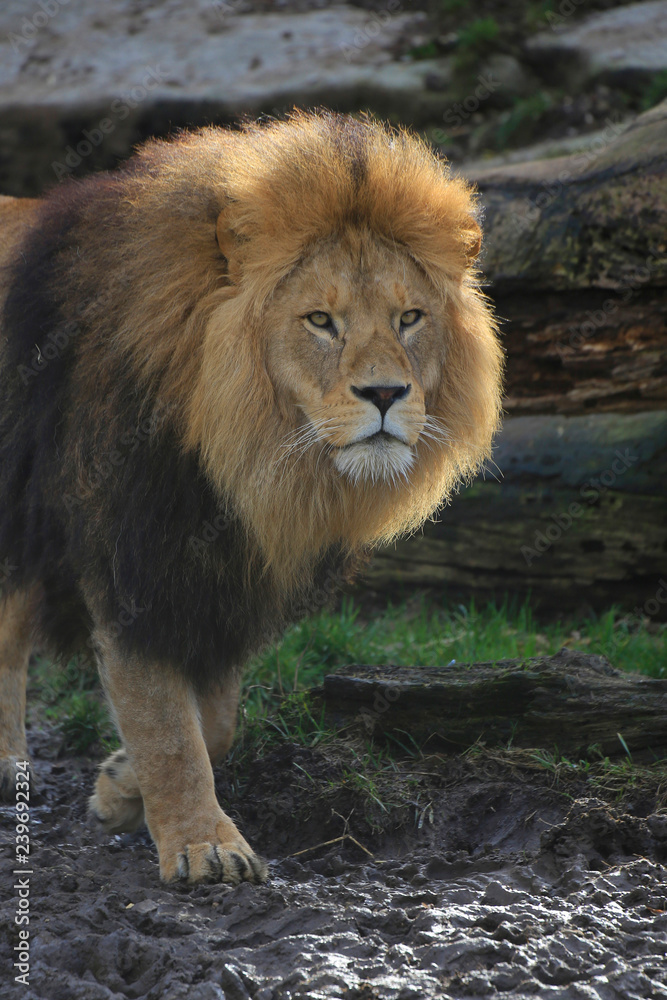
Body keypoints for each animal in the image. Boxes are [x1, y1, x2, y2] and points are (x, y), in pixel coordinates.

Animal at [0, 113, 500, 888]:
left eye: (410, 317)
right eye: (320, 320)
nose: (386, 393)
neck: (246, 458)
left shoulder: (228, 580)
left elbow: (215, 722)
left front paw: (119, 786)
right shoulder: (135, 558)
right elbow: (166, 723)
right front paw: (204, 848)